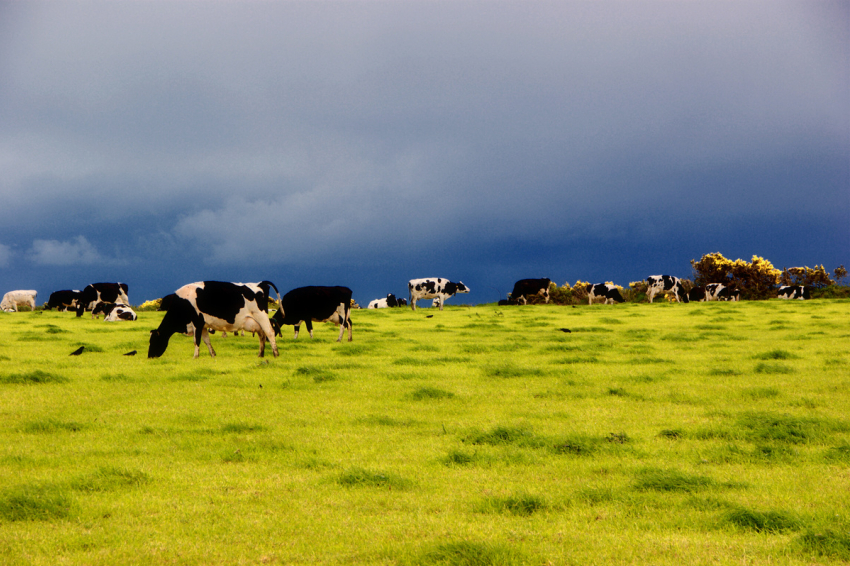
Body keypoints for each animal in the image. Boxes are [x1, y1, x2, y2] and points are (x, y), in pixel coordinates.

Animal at [146, 282, 278, 362]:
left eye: (154, 341)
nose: (149, 356)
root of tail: (259, 283)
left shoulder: (197, 322)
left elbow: (196, 341)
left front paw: (195, 357)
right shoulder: (203, 326)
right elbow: (206, 341)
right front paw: (213, 354)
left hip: (261, 316)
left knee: (270, 332)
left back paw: (275, 354)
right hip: (256, 322)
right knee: (262, 335)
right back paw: (260, 354)